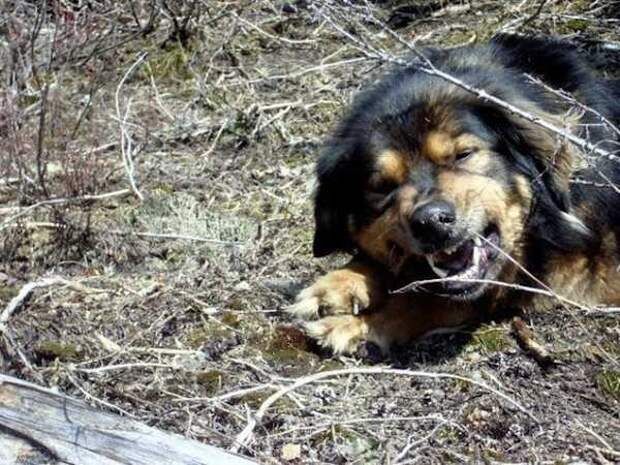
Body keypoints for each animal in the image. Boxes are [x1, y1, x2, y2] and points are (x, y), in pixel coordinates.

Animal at [288, 35, 620, 354]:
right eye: (382, 186)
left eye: (464, 154)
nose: (430, 222)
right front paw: (339, 284)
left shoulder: (570, 268)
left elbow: (427, 300)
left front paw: (354, 325)